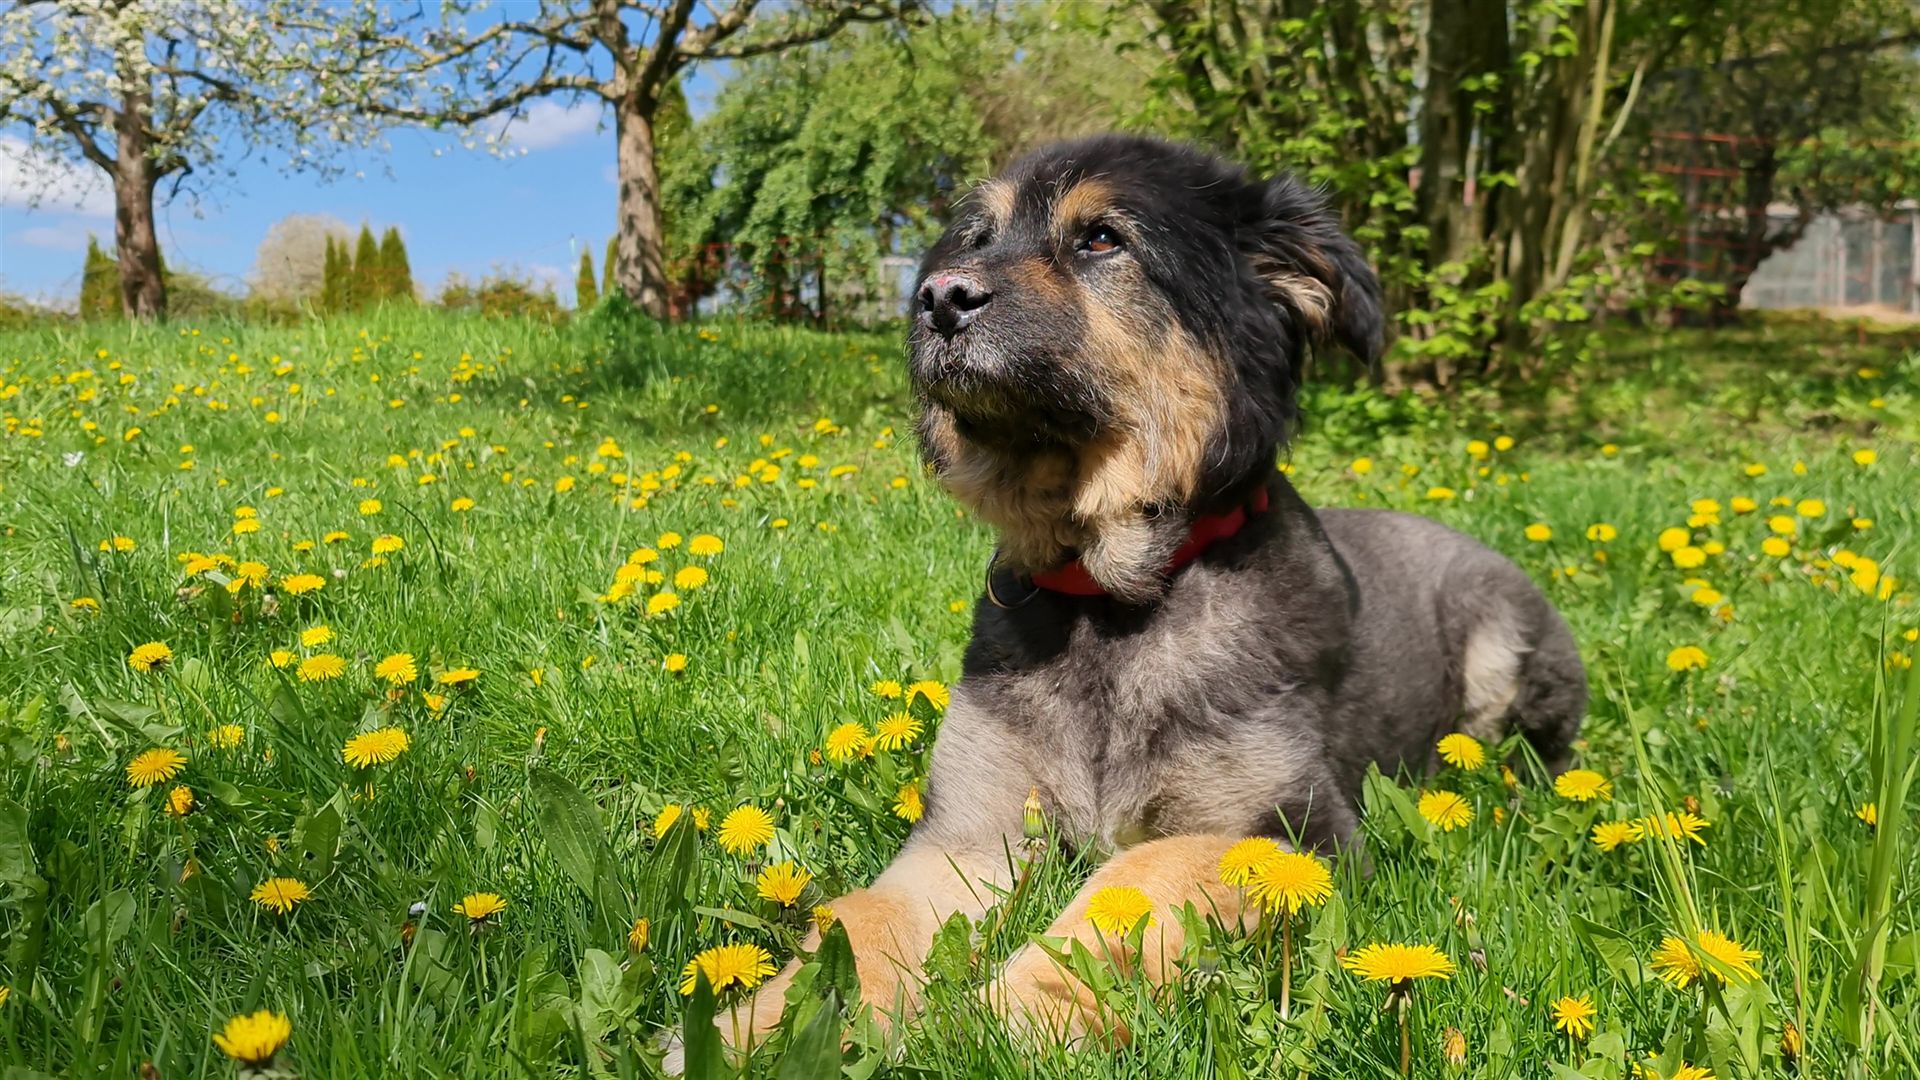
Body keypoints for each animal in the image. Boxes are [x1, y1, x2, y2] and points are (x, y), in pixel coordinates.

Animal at [718, 134, 1587, 1049]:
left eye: (1103, 239)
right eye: (978, 238)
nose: (937, 300)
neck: (1111, 603)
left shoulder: (1298, 831)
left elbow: (1143, 871)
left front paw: (1012, 1014)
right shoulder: (969, 830)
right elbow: (864, 916)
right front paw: (767, 1023)